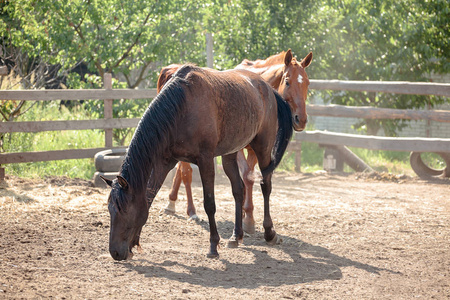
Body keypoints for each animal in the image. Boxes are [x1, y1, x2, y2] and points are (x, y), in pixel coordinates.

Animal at [102, 63, 294, 260]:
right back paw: (236, 235)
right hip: (230, 153)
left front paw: (213, 246)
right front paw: (134, 243)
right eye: (110, 209)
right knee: (238, 189)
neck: (182, 107)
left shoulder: (205, 160)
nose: (115, 252)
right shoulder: (164, 163)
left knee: (266, 185)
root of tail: (267, 88)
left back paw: (269, 233)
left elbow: (209, 204)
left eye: (124, 209)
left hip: (263, 147)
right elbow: (148, 197)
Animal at [162, 49, 312, 233]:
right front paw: (248, 218)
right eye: (288, 82)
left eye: (307, 83)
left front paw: (246, 215)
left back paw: (173, 201)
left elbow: (249, 176)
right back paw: (188, 210)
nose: (301, 120)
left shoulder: (254, 149)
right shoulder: (236, 148)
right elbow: (247, 176)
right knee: (185, 172)